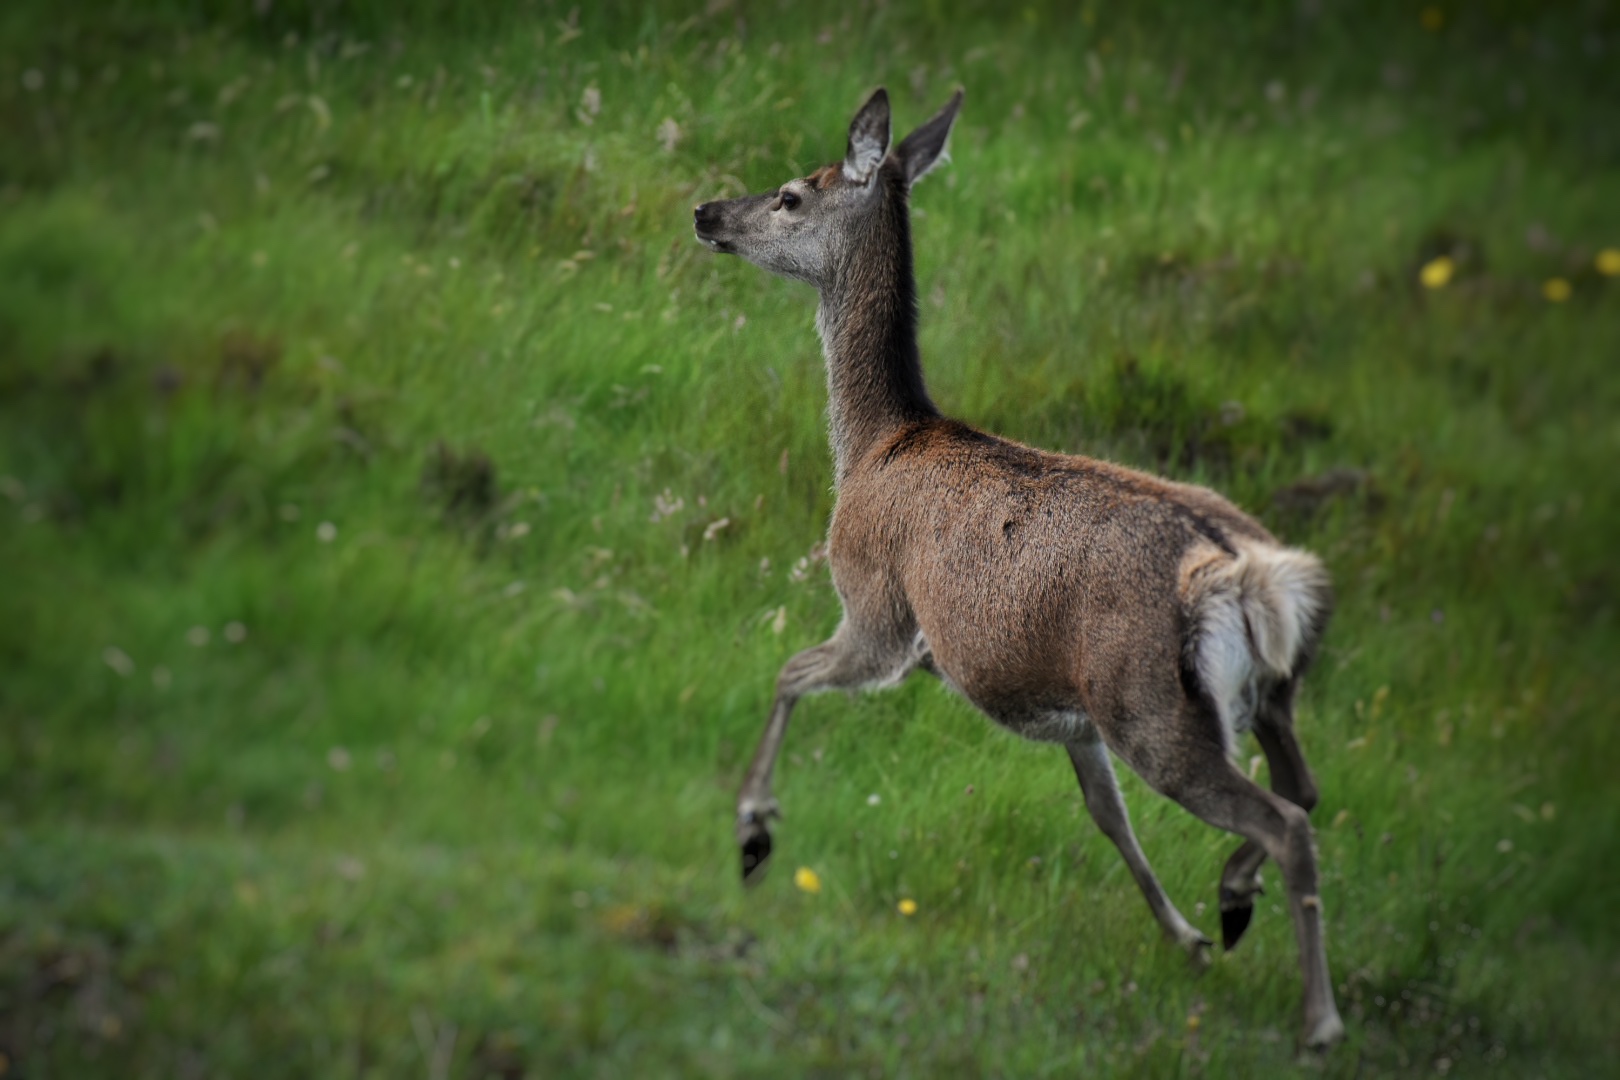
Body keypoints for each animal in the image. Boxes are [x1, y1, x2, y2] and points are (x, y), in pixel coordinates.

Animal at [692, 87, 1345, 1049]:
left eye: (789, 195)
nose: (706, 211)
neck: (873, 446)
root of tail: (1250, 576)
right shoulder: (1070, 712)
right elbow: (1106, 818)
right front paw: (1182, 936)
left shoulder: (878, 613)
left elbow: (788, 672)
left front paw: (751, 830)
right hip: (1252, 693)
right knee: (1304, 786)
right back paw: (1231, 901)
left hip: (1152, 705)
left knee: (1287, 819)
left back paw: (1317, 1016)